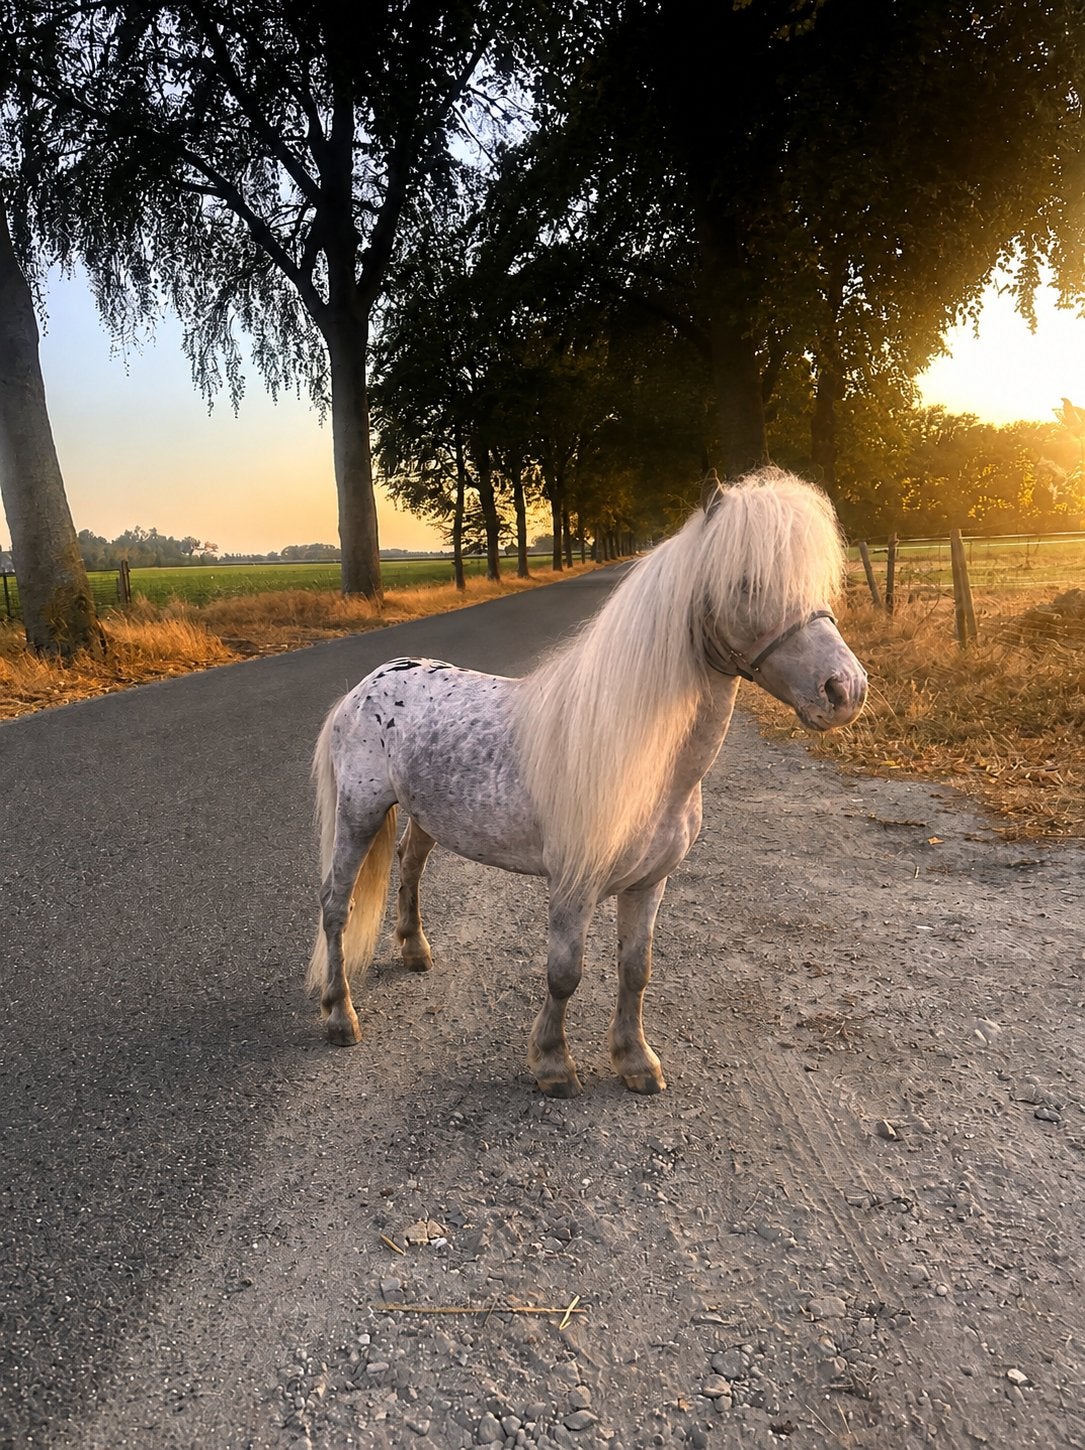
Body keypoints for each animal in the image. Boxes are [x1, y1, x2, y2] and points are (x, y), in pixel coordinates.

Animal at [307, 467, 867, 1096]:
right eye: (746, 583)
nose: (845, 690)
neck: (642, 766)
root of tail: (366, 685)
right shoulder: (572, 886)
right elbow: (564, 973)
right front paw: (553, 1064)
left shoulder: (649, 883)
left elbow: (635, 969)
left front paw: (635, 1060)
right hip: (359, 814)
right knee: (336, 904)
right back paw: (339, 1015)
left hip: (425, 816)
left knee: (409, 865)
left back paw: (414, 951)